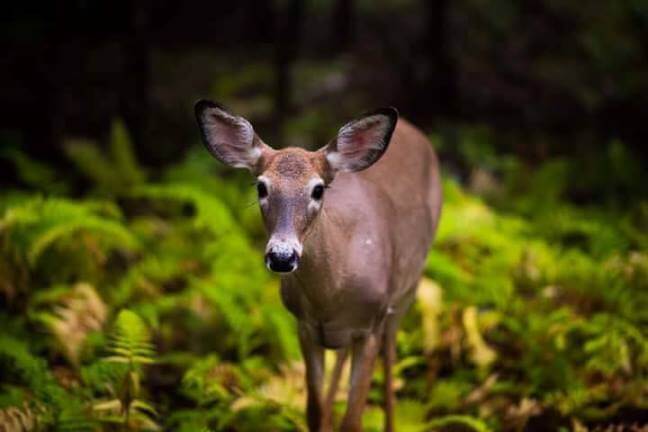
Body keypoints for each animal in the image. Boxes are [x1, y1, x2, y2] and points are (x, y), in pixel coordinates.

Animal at [195, 98, 442, 432]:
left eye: (317, 189)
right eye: (261, 187)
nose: (282, 256)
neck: (332, 293)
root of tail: (411, 128)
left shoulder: (371, 325)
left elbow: (353, 420)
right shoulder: (305, 325)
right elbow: (314, 410)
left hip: (407, 290)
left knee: (391, 357)